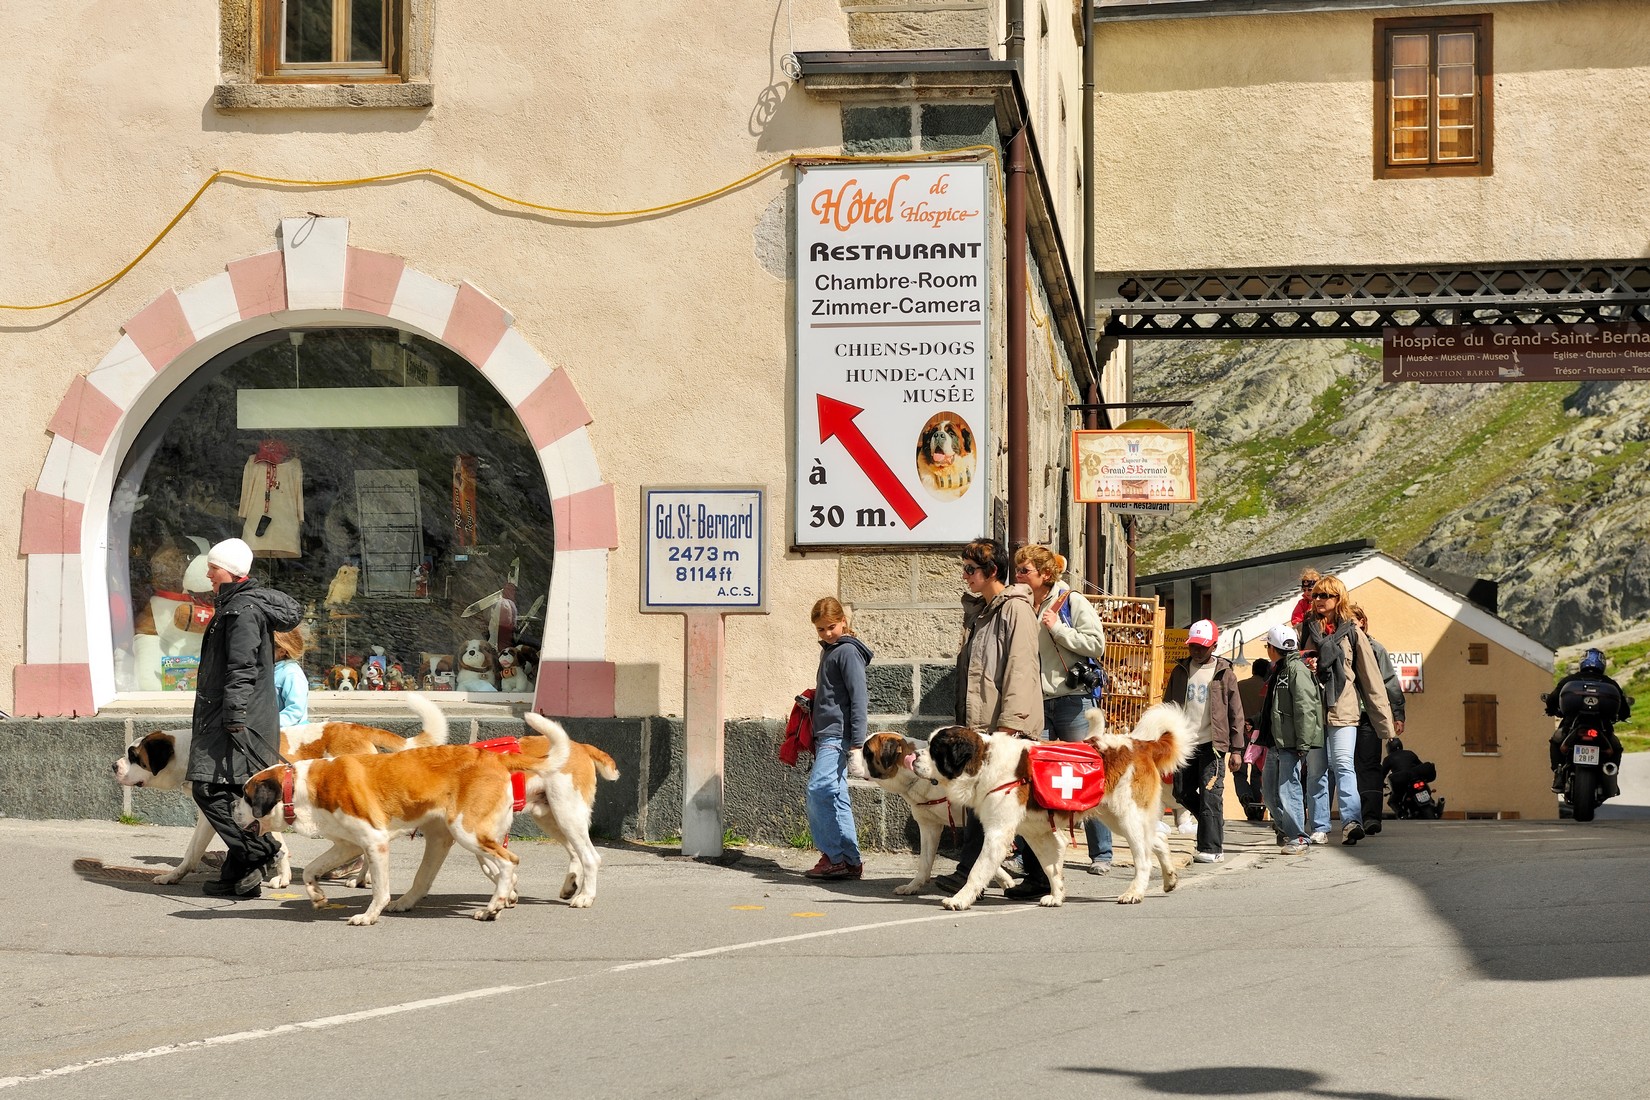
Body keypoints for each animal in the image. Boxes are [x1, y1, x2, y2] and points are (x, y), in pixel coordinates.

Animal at [112, 694, 449, 886]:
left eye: (134, 756)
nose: (113, 766)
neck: (193, 753)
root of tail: (355, 728)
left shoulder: (262, 808)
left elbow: (279, 846)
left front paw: (281, 877)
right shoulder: (213, 816)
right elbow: (192, 851)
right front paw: (174, 876)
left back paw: (357, 876)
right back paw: (357, 875)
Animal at [236, 738, 553, 925]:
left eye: (246, 796)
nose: (231, 807)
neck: (300, 787)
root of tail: (495, 758)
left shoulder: (375, 842)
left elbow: (379, 889)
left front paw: (369, 915)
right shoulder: (347, 845)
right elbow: (313, 869)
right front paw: (316, 895)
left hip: (468, 831)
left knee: (508, 862)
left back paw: (493, 906)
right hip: (450, 835)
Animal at [916, 703, 1193, 909]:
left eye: (935, 750)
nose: (914, 755)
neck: (984, 762)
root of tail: (1140, 744)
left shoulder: (997, 833)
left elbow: (978, 869)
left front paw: (960, 899)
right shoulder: (1036, 833)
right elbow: (1050, 866)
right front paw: (1057, 895)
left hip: (1127, 816)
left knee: (1143, 857)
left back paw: (1134, 892)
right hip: (1116, 816)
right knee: (1157, 839)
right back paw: (1169, 879)